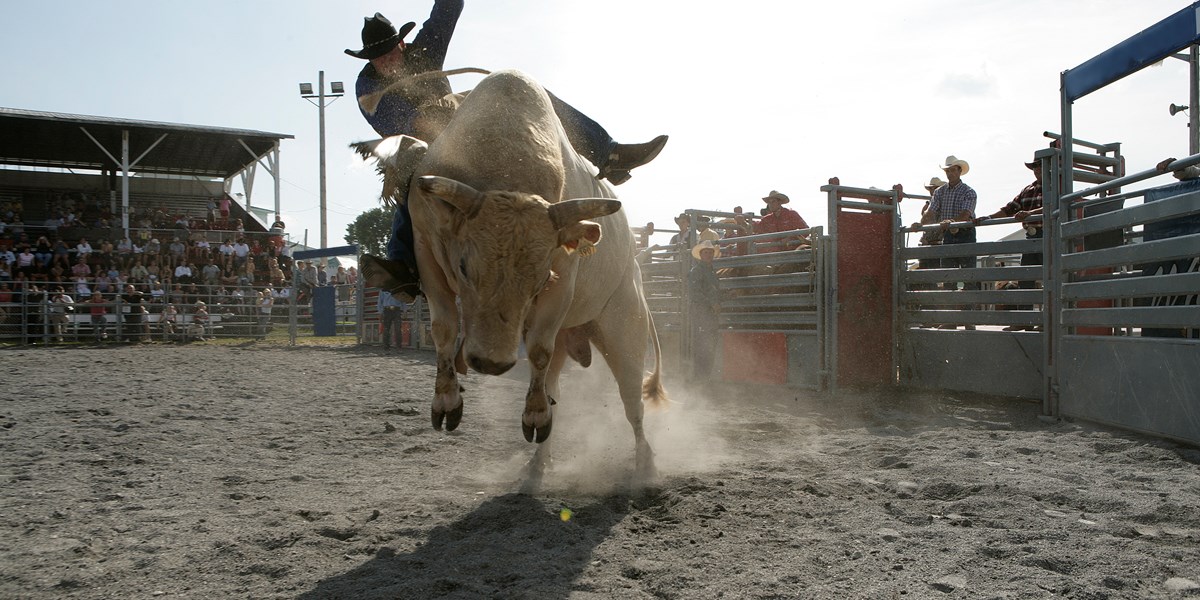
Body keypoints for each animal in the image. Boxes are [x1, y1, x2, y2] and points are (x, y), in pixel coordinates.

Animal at [350, 70, 672, 482]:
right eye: (463, 267)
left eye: (541, 279)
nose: (490, 363)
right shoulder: (426, 249)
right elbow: (444, 328)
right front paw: (446, 402)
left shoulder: (562, 277)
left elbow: (537, 349)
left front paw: (530, 417)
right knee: (554, 393)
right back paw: (538, 464)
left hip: (624, 329)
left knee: (632, 405)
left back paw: (644, 464)